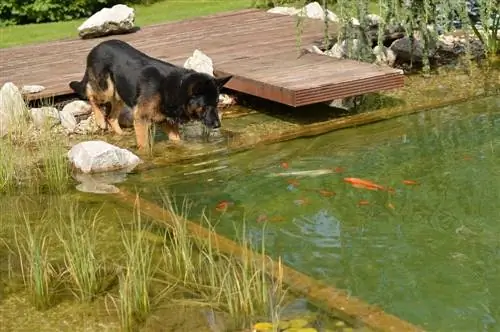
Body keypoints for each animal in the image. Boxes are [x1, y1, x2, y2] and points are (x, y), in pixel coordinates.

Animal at [70, 39, 232, 152]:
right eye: (205, 106)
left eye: (216, 104)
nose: (218, 125)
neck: (176, 87)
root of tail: (97, 46)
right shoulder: (141, 119)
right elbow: (144, 146)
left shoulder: (166, 121)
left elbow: (177, 141)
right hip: (106, 89)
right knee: (90, 94)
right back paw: (99, 119)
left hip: (119, 93)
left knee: (111, 117)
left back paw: (121, 134)